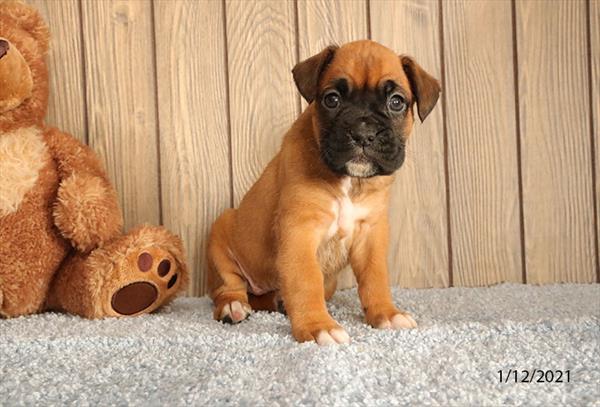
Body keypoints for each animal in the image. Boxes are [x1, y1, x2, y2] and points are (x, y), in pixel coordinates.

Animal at [206, 40, 440, 344]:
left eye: (396, 102)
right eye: (332, 99)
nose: (362, 133)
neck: (349, 181)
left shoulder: (371, 234)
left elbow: (375, 277)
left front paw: (386, 313)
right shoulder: (300, 231)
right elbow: (306, 281)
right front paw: (318, 326)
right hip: (220, 237)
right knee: (229, 286)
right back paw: (233, 305)